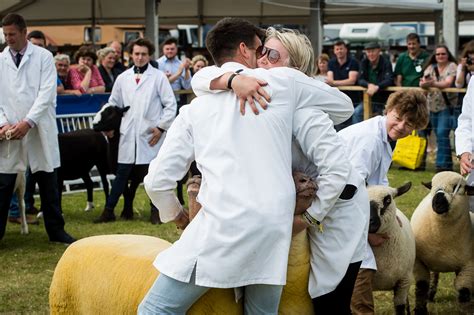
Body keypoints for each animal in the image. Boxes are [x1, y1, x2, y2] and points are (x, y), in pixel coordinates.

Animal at [412, 172, 474, 314]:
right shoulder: (419, 262)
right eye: (432, 186)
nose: (437, 201)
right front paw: (420, 310)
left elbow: (464, 290)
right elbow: (421, 286)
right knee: (433, 277)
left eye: (457, 187)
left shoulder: (469, 265)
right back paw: (430, 295)